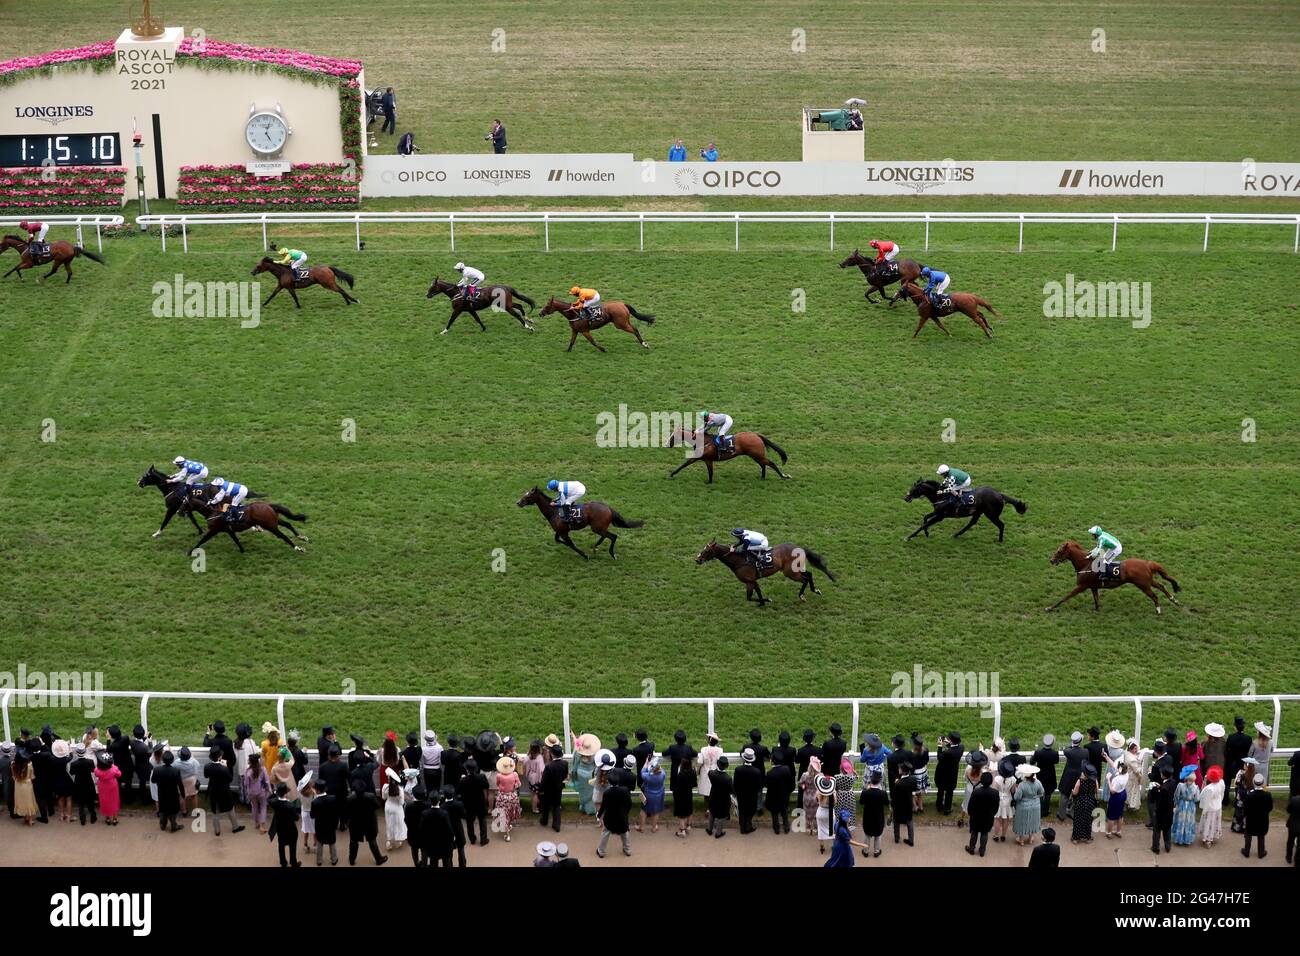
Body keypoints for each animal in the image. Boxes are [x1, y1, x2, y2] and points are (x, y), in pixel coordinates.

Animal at [514, 486, 642, 561]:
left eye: (529, 495)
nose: (518, 502)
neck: (553, 511)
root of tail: (608, 508)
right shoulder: (561, 531)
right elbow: (558, 540)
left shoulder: (564, 532)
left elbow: (570, 544)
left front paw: (584, 555)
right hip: (599, 527)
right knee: (606, 536)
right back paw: (596, 547)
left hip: (597, 527)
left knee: (613, 536)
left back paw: (612, 554)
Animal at [696, 538, 837, 606]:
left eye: (706, 551)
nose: (697, 559)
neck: (738, 560)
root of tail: (800, 548)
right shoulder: (753, 581)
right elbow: (757, 592)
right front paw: (762, 603)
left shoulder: (749, 581)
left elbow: (749, 598)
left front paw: (767, 600)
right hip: (794, 570)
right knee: (809, 574)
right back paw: (814, 590)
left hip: (790, 572)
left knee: (805, 578)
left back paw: (803, 595)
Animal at [1040, 541, 1185, 616]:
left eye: (1059, 551)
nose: (1051, 560)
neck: (1085, 564)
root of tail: (1146, 563)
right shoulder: (1093, 586)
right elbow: (1096, 599)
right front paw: (1097, 610)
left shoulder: (1081, 586)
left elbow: (1065, 597)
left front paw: (1049, 608)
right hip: (1148, 581)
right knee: (1162, 586)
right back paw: (1174, 600)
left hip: (1143, 584)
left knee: (1155, 595)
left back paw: (1158, 610)